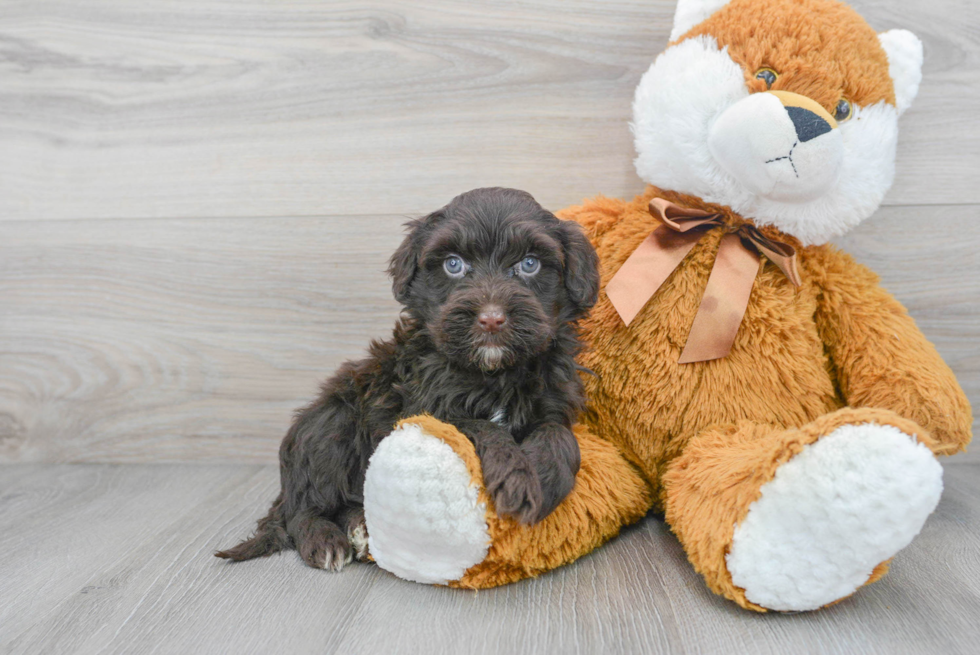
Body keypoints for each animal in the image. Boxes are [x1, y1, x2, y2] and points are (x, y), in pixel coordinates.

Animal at [216, 187, 596, 572]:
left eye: (530, 264)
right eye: (453, 264)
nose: (491, 319)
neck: (493, 372)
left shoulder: (554, 402)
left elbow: (560, 435)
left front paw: (545, 479)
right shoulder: (426, 410)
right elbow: (482, 426)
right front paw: (517, 478)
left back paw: (360, 528)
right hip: (330, 425)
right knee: (301, 508)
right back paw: (324, 540)